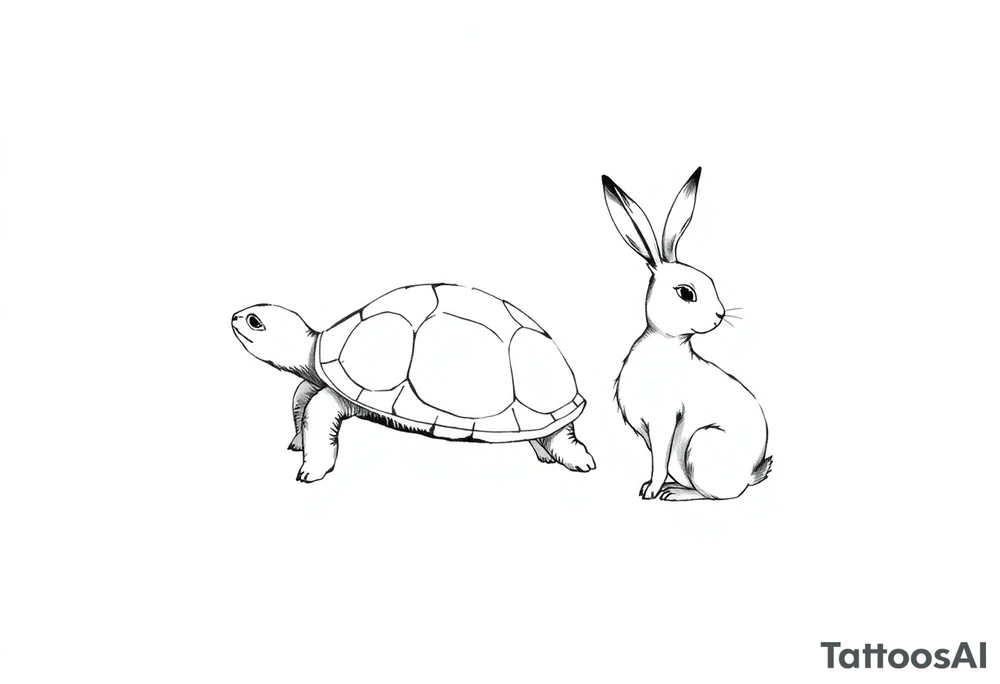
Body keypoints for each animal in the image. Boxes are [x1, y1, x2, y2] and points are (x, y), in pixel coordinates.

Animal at [602, 168, 771, 501]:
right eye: (686, 293)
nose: (720, 314)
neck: (665, 344)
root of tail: (749, 476)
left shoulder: (663, 421)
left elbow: (659, 460)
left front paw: (650, 491)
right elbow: (659, 459)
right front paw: (650, 487)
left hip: (701, 445)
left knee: (715, 495)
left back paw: (675, 494)